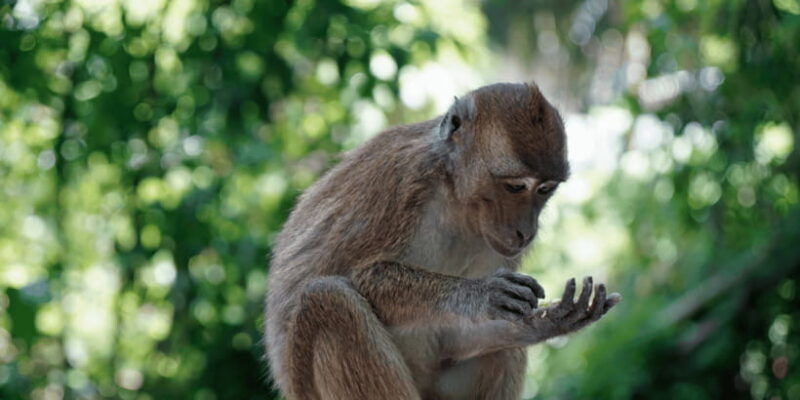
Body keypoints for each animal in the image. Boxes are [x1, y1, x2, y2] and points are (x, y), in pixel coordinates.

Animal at [264, 82, 621, 400]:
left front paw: (547, 322)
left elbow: (455, 338)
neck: (456, 196)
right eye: (516, 186)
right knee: (327, 297)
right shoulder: (402, 180)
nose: (526, 231)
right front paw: (480, 293)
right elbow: (359, 274)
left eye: (545, 189)